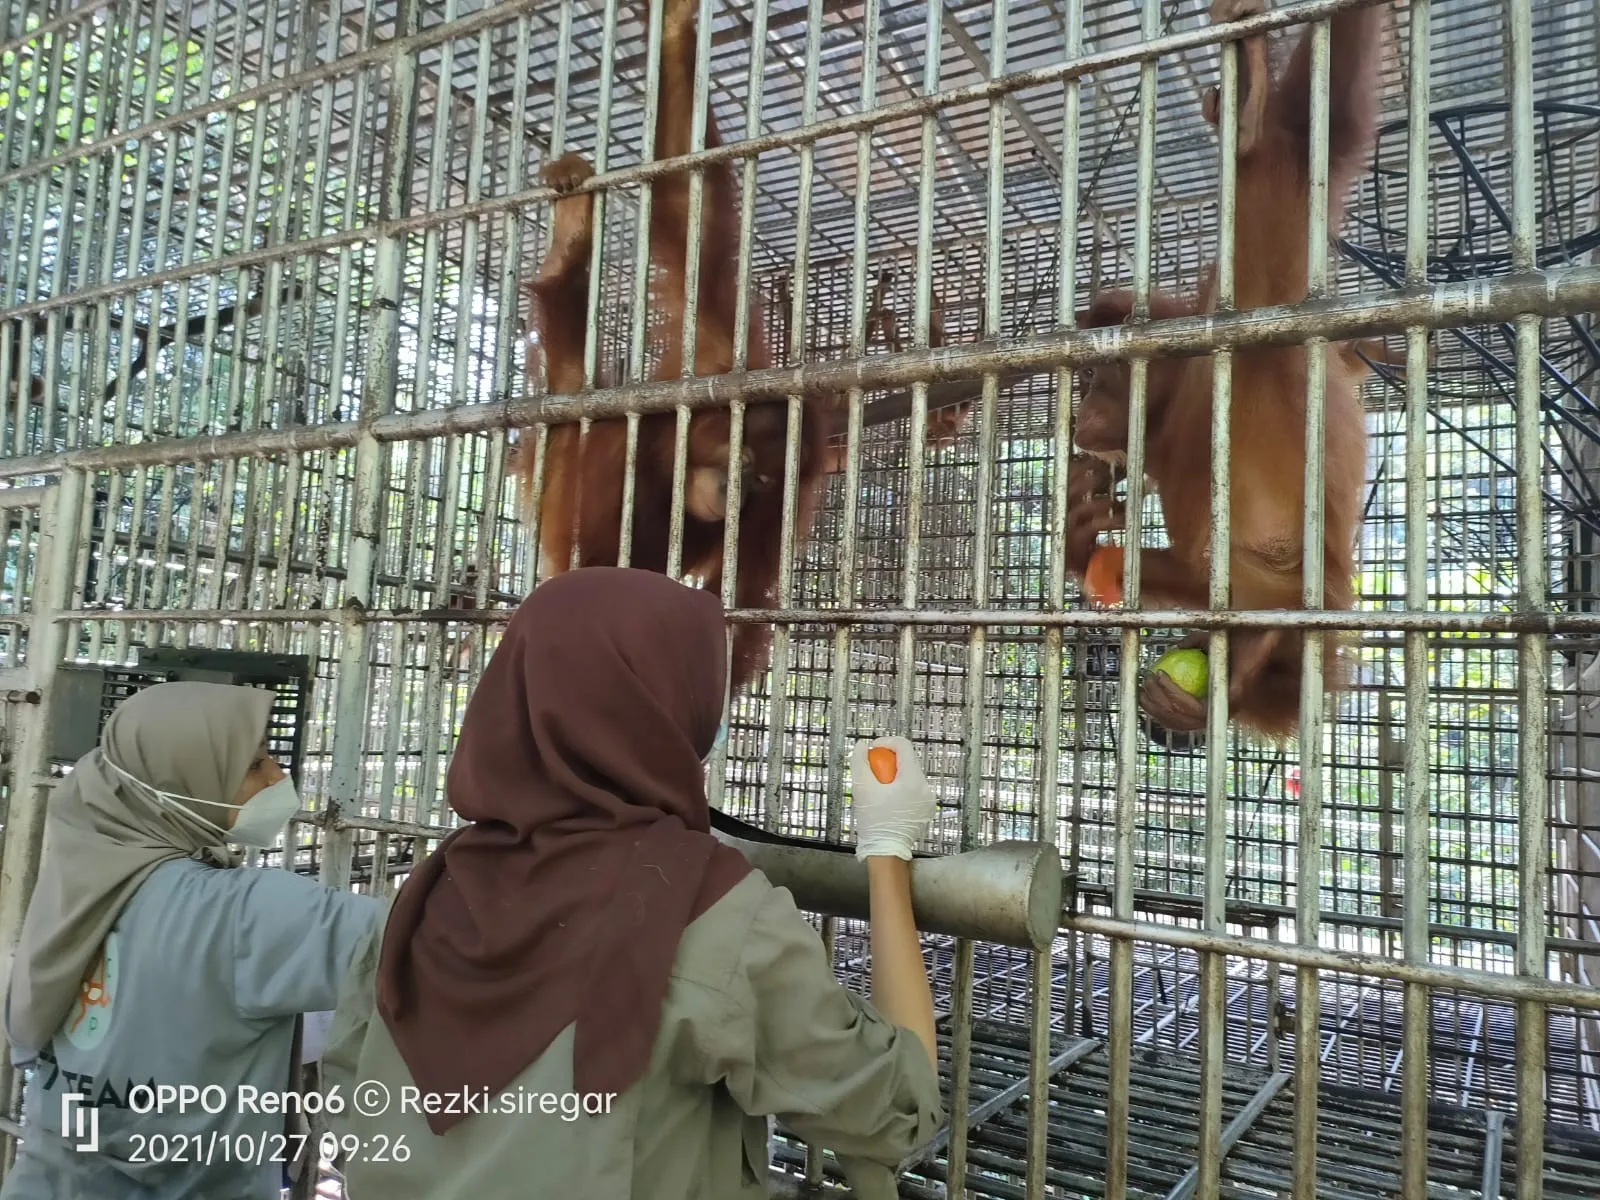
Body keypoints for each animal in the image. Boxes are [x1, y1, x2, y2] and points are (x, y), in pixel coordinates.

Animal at [516, 0, 828, 693]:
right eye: (743, 457)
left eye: (765, 480)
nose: (742, 486)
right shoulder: (716, 351)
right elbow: (692, 208)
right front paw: (681, 25)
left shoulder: (780, 510)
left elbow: (741, 600)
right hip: (562, 449)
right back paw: (570, 245)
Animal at [1065, 0, 1384, 740]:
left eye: (1102, 376)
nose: (1080, 408)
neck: (1182, 402)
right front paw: (1077, 527)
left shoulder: (1254, 309)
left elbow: (1297, 150)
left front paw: (1252, 98)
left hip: (1303, 608)